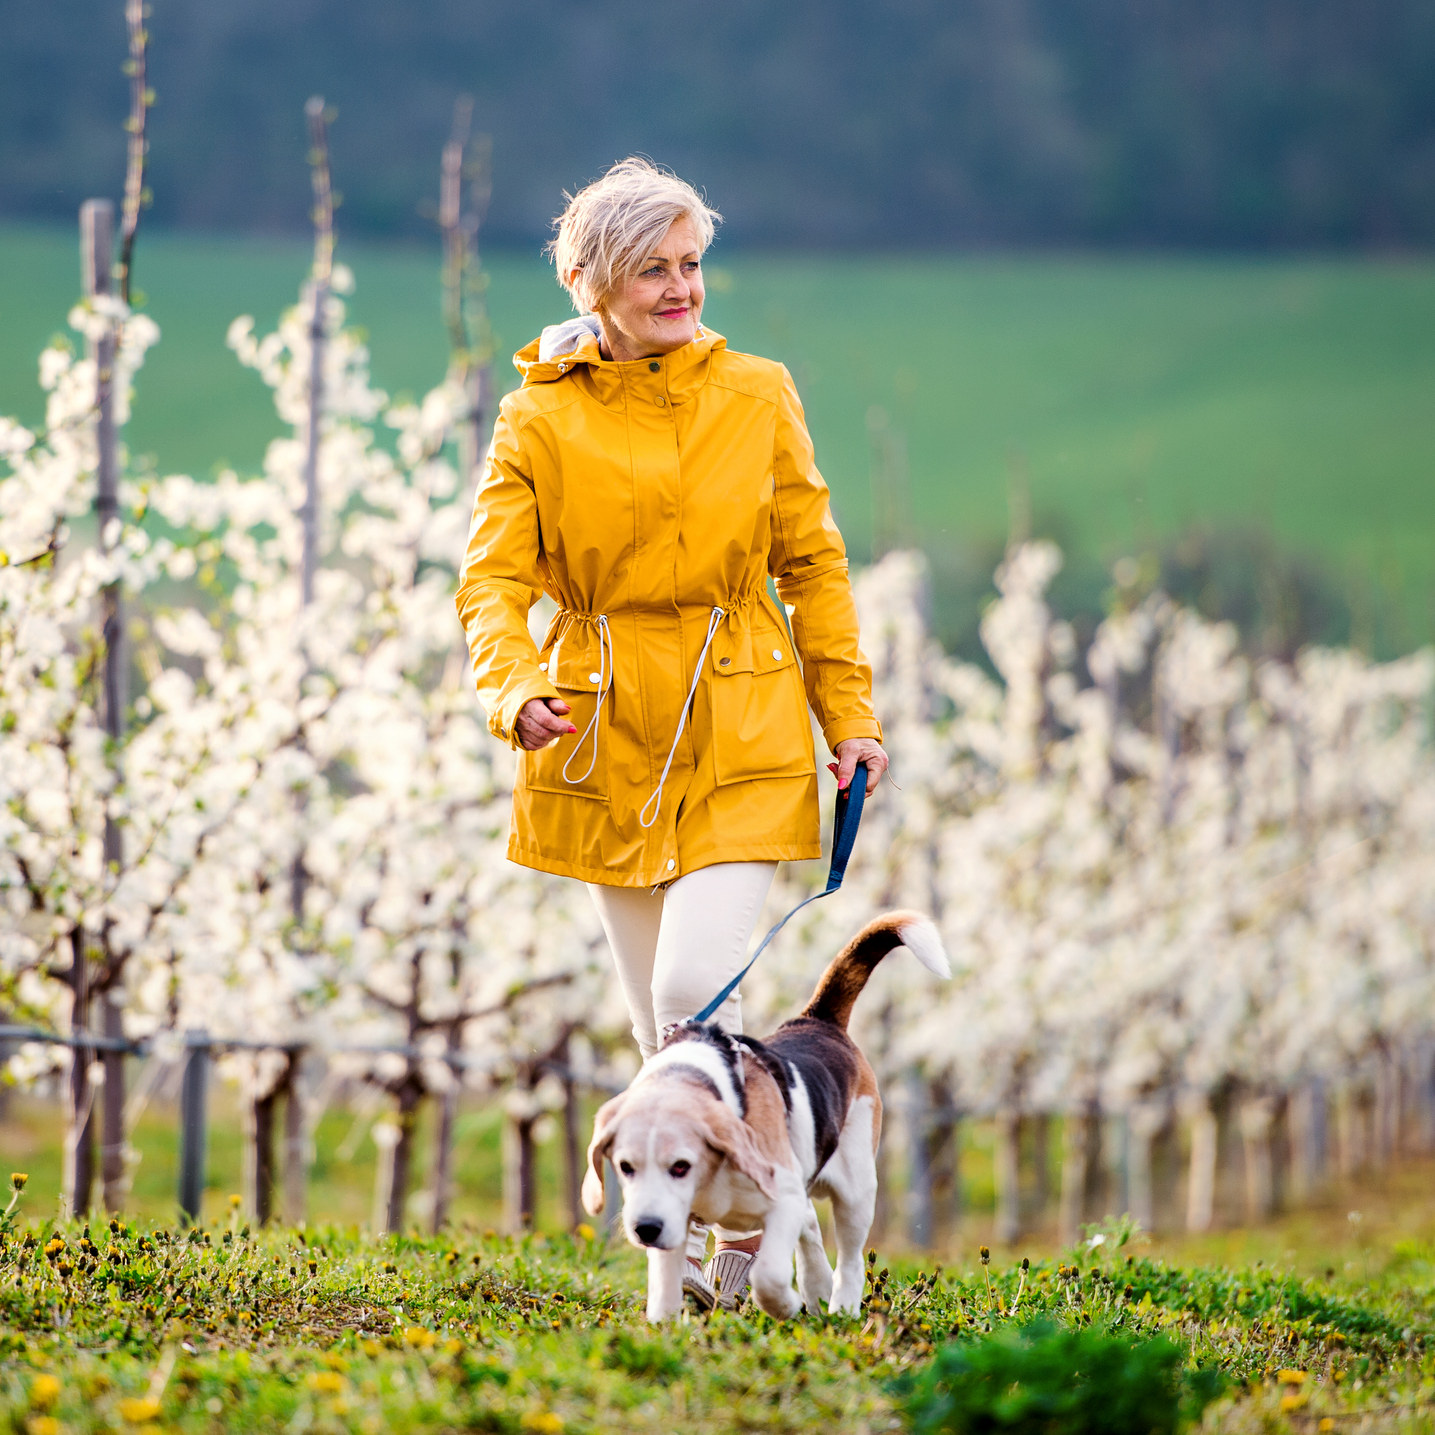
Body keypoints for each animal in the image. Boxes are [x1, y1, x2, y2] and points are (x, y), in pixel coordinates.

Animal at [576, 906, 947, 1320]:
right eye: (625, 1167)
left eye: (681, 1167)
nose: (646, 1229)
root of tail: (817, 1021)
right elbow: (664, 1287)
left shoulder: (783, 1199)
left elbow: (768, 1275)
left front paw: (784, 1304)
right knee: (812, 1231)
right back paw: (817, 1289)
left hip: (856, 1191)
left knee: (849, 1260)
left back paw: (841, 1309)